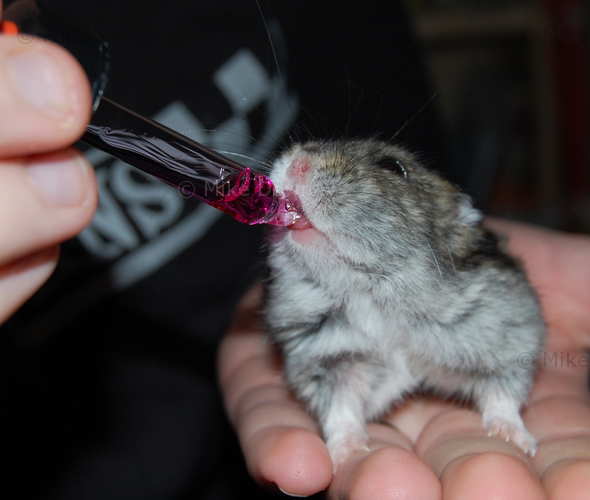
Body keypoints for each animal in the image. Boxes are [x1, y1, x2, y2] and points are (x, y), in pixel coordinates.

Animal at [266, 140, 548, 464]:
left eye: (393, 166)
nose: (296, 162)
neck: (371, 294)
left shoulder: (507, 338)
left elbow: (503, 394)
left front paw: (514, 439)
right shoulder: (327, 359)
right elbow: (341, 407)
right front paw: (349, 453)